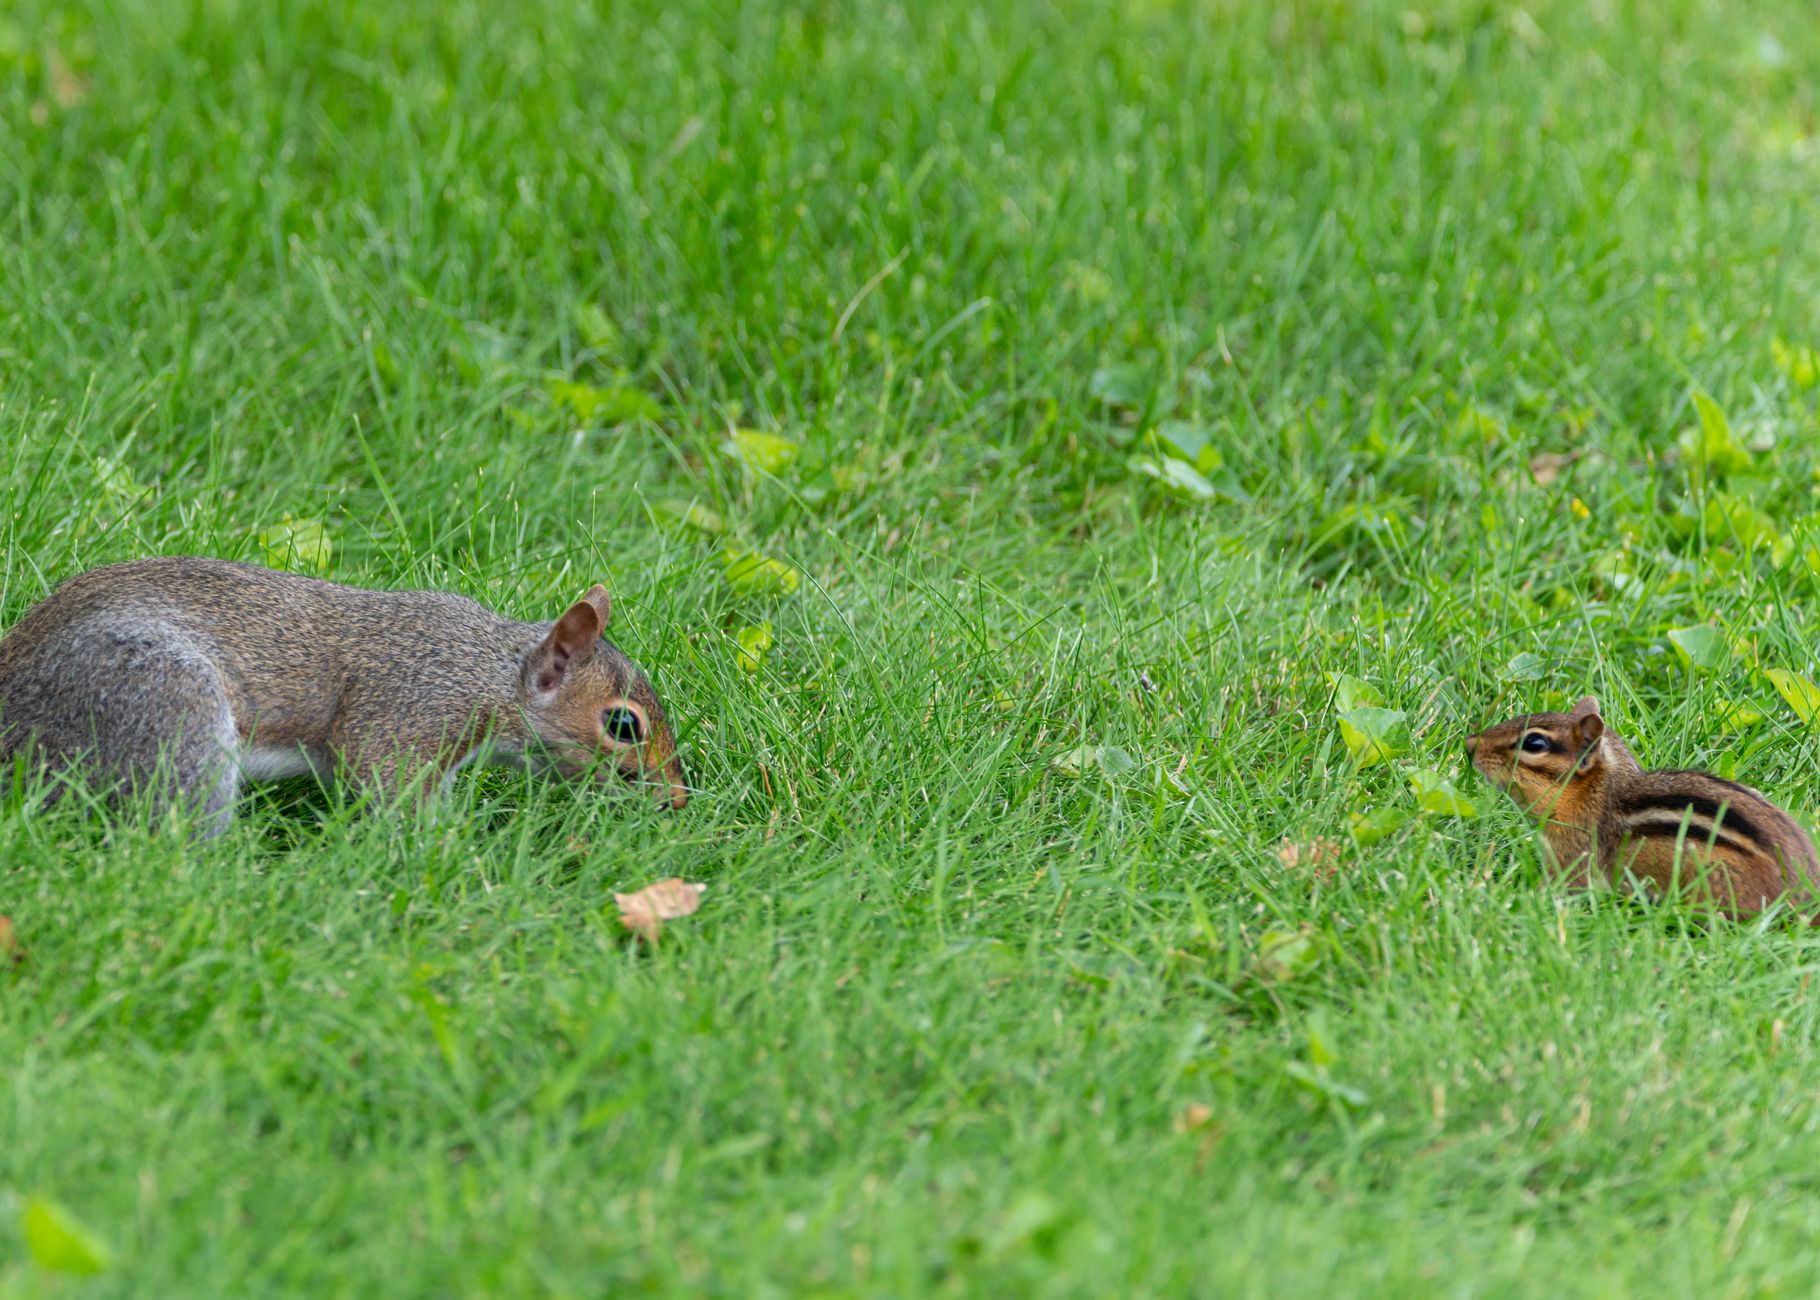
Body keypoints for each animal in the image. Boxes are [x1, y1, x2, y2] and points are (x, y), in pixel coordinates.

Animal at [0, 556, 688, 835]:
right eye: (623, 726)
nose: (677, 800)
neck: (489, 672)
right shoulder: (412, 706)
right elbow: (382, 773)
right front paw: (456, 845)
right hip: (165, 701)